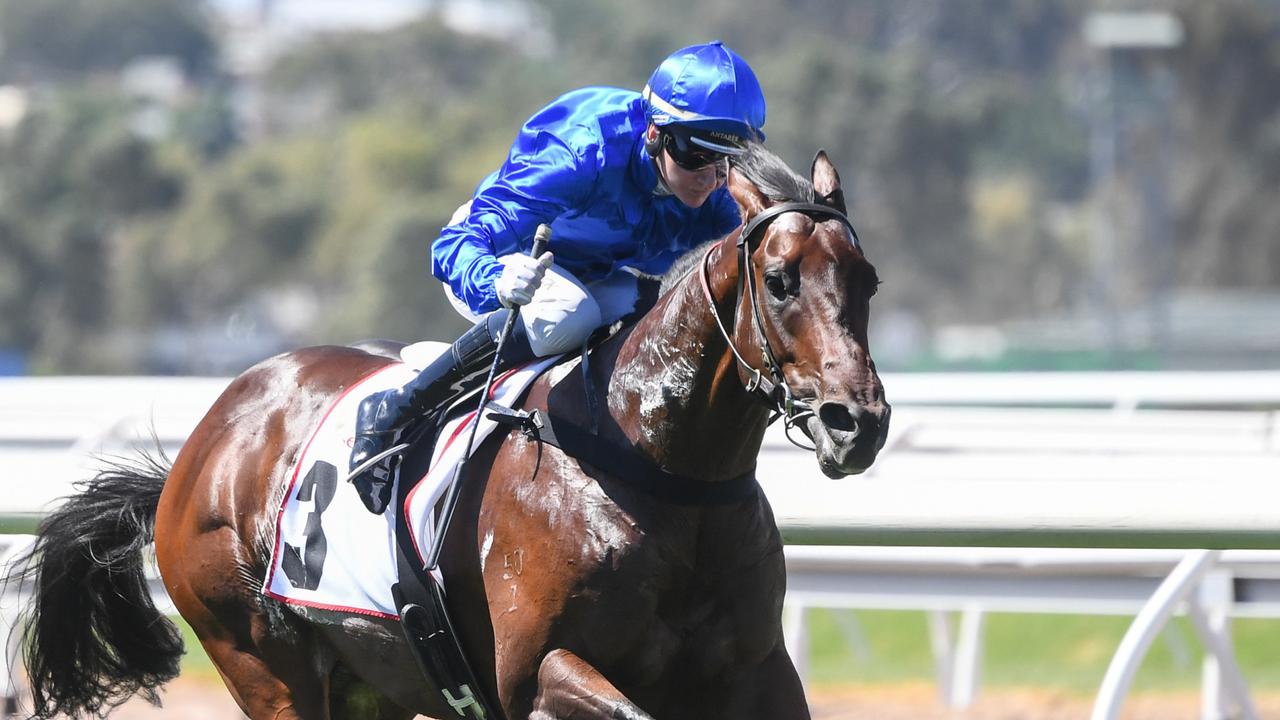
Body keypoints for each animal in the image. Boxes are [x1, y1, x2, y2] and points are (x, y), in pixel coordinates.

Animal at [12, 144, 890, 717]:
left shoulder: (759, 672)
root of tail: (201, 449)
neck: (657, 469)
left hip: (370, 684)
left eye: (868, 279)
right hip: (259, 657)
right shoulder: (535, 673)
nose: (857, 422)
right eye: (778, 279)